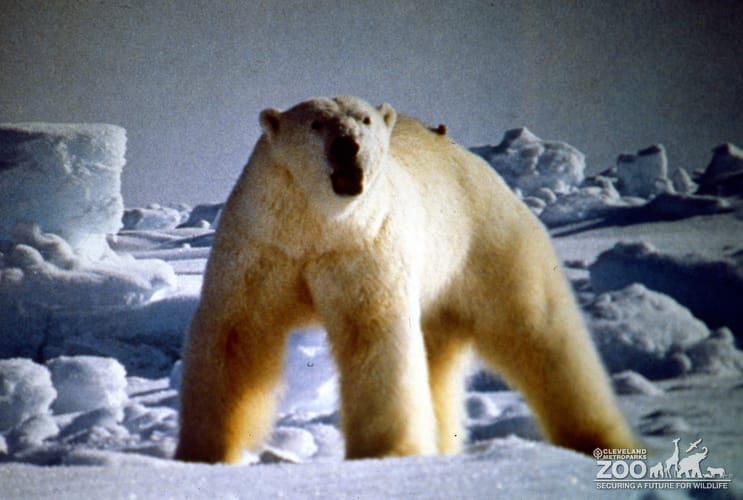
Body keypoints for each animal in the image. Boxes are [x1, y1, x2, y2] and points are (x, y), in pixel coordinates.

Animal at [175, 96, 637, 463]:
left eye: (364, 119)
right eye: (315, 123)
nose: (347, 145)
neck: (319, 223)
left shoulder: (363, 247)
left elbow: (373, 335)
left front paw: (386, 454)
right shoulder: (263, 245)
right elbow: (236, 336)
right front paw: (205, 456)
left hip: (487, 246)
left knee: (541, 331)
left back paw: (603, 442)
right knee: (444, 360)